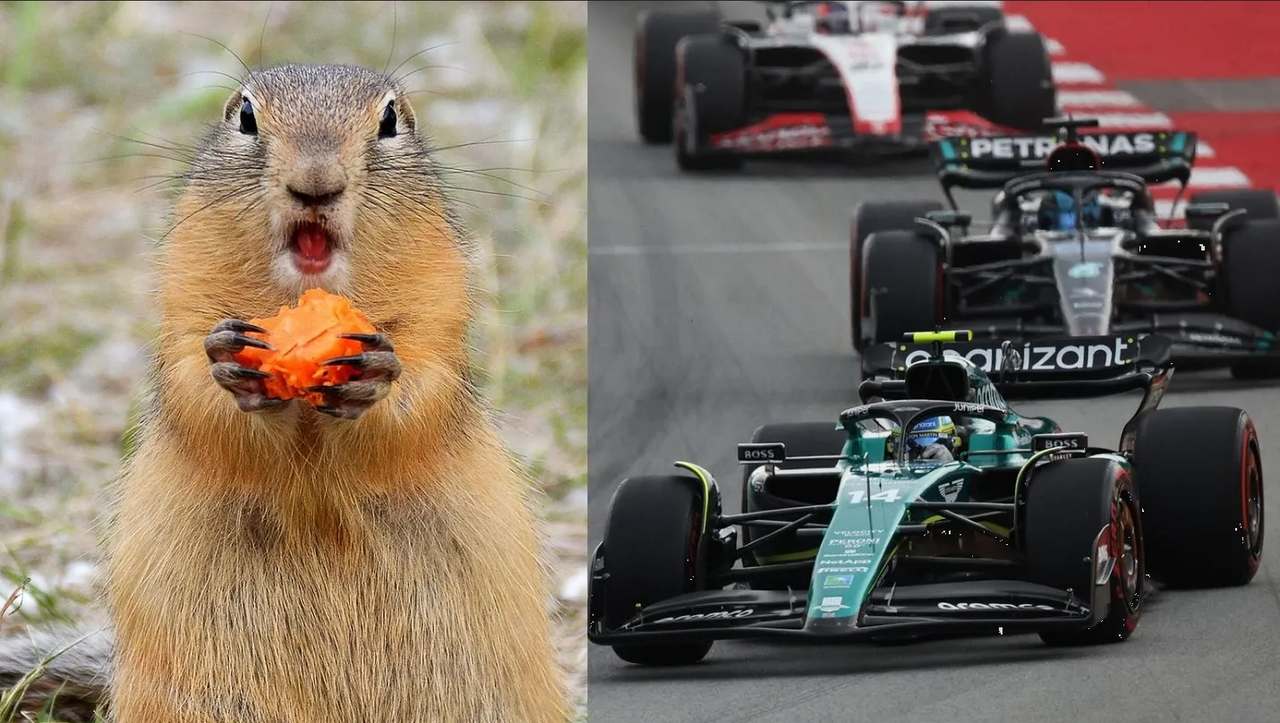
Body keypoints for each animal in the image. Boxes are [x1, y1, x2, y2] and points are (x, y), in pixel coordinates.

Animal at [0, 60, 568, 721]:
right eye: (245, 115)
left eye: (390, 120)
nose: (316, 185)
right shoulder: (182, 301)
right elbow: (192, 387)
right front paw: (231, 365)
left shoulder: (440, 307)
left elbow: (425, 390)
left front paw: (375, 375)